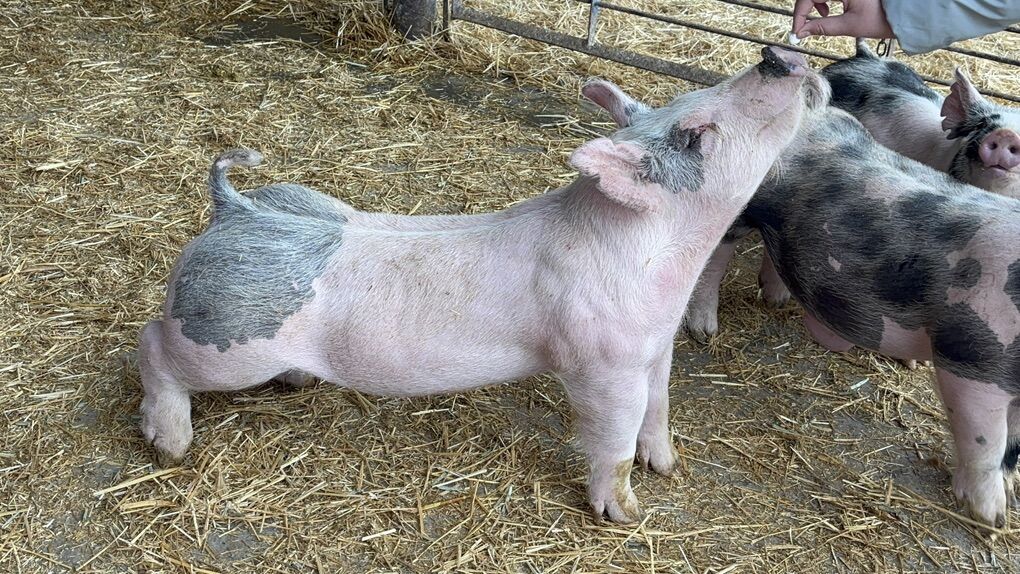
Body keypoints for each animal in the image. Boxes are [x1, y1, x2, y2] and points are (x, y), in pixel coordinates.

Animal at [137, 47, 824, 524]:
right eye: (697, 132)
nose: (777, 56)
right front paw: (627, 515)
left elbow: (658, 409)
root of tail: (235, 210)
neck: (669, 262)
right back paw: (171, 446)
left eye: (698, 96)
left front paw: (670, 468)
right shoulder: (600, 364)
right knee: (149, 343)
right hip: (227, 337)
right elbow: (615, 438)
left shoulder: (654, 348)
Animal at [678, 97, 1020, 527]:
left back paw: (777, 300)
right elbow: (985, 442)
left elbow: (1013, 444)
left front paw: (1009, 491)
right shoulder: (971, 358)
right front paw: (993, 518)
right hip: (740, 206)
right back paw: (705, 330)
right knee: (717, 254)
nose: (1004, 137)